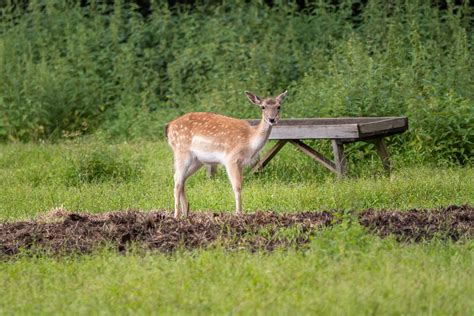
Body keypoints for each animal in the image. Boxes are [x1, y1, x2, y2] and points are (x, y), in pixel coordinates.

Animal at [165, 89, 286, 217]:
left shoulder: (241, 163)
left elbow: (241, 184)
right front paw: (238, 213)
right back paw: (176, 215)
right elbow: (237, 186)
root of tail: (169, 127)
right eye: (263, 107)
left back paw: (186, 213)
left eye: (279, 106)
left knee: (181, 178)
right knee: (177, 180)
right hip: (181, 150)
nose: (272, 119)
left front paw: (240, 212)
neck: (249, 141)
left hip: (197, 160)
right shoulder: (231, 158)